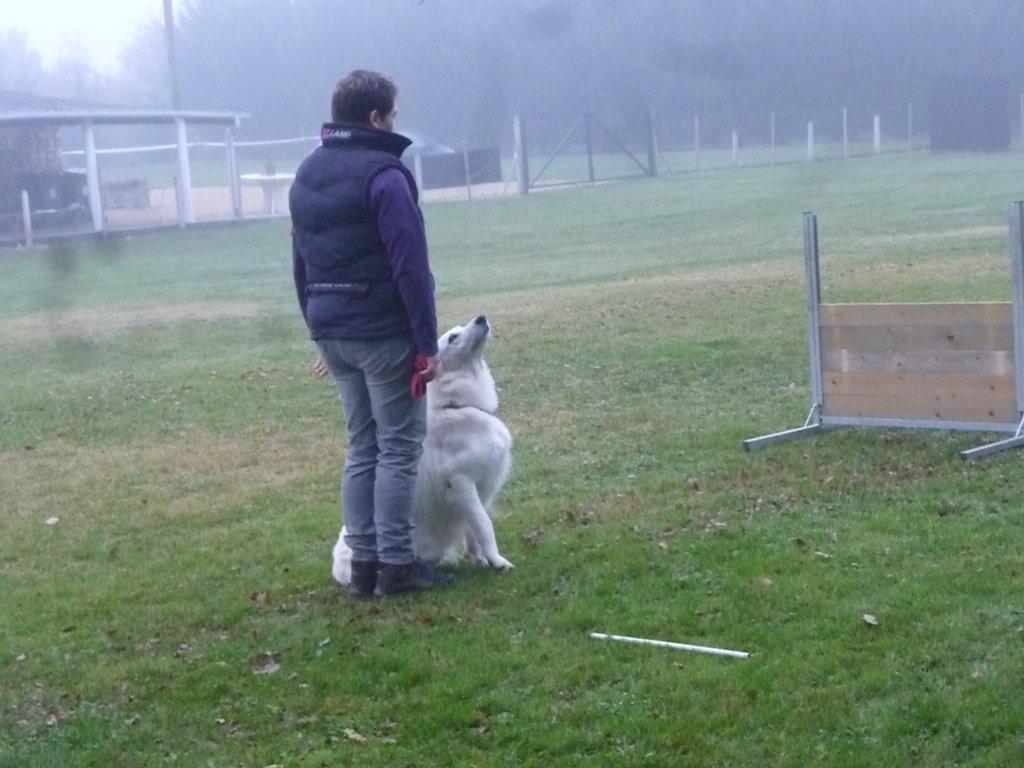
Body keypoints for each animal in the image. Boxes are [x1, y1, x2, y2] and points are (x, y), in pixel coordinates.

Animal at [333, 313, 516, 581]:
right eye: (453, 337)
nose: (481, 318)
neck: (457, 405)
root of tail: (338, 568)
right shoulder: (461, 482)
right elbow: (484, 525)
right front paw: (498, 561)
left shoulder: (480, 489)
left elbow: (473, 531)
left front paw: (481, 560)